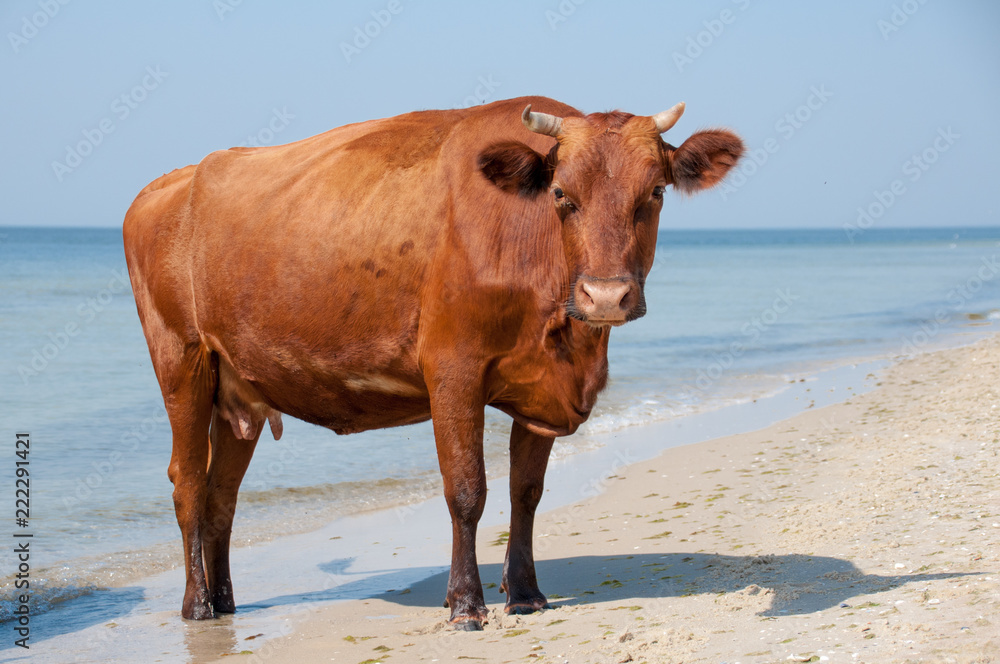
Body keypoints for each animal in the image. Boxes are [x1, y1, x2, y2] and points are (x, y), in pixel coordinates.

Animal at [123, 95, 742, 629]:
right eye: (562, 195)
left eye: (655, 192)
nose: (606, 296)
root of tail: (167, 184)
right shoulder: (453, 369)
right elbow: (467, 489)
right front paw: (466, 604)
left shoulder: (539, 388)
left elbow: (526, 492)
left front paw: (526, 594)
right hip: (181, 360)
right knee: (188, 484)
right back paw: (198, 606)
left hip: (238, 392)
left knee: (221, 496)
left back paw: (226, 603)